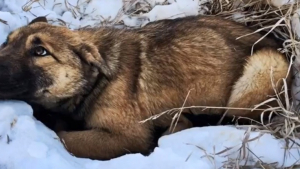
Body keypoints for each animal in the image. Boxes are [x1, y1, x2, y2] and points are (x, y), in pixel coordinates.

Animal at [0, 15, 292, 160]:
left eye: (40, 51)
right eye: (6, 41)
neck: (96, 81)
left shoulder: (128, 136)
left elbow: (63, 137)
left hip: (265, 65)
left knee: (233, 118)